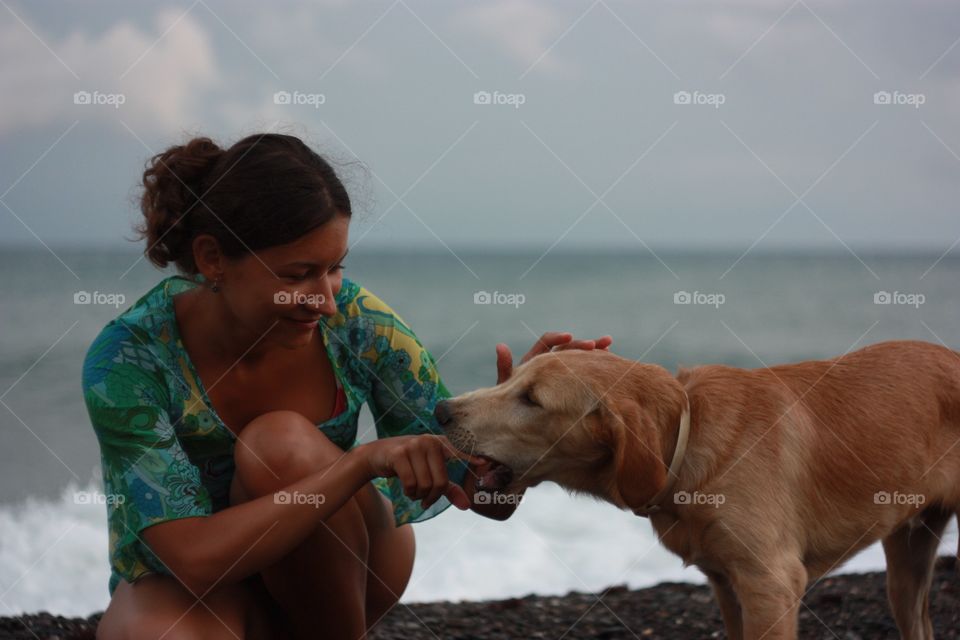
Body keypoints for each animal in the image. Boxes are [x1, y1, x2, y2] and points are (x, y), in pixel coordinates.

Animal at [436, 338, 960, 636]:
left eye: (532, 399)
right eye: (512, 379)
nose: (441, 411)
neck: (687, 443)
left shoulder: (771, 584)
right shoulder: (728, 586)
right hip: (907, 564)